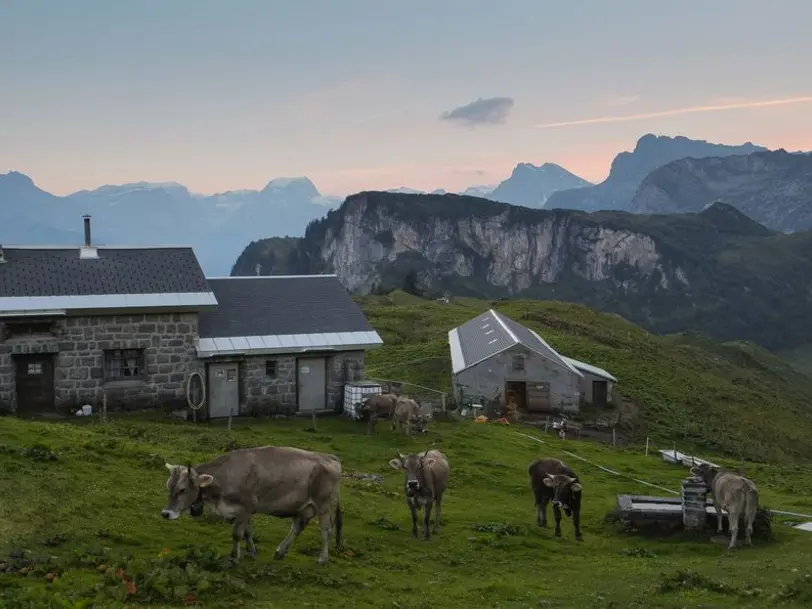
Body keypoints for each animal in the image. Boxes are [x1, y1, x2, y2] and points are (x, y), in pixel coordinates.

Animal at [162, 444, 342, 564]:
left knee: (326, 530)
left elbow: (237, 533)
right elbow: (247, 532)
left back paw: (322, 558)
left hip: (323, 504)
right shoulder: (244, 511)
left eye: (182, 490)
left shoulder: (246, 507)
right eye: (168, 486)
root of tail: (330, 457)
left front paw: (234, 557)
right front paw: (250, 551)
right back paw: (280, 551)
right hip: (302, 507)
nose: (165, 513)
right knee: (297, 527)